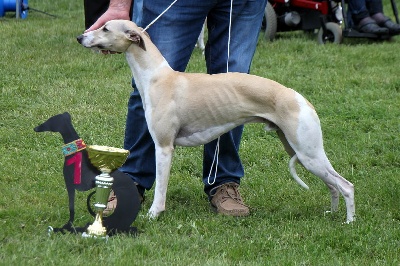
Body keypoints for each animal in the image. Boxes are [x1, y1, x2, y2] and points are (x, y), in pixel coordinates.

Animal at [76, 19, 354, 222]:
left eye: (105, 28)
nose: (80, 38)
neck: (159, 77)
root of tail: (302, 100)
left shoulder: (164, 147)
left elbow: (161, 187)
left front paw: (154, 214)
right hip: (301, 152)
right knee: (332, 186)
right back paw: (332, 214)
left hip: (309, 153)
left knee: (346, 186)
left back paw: (349, 222)